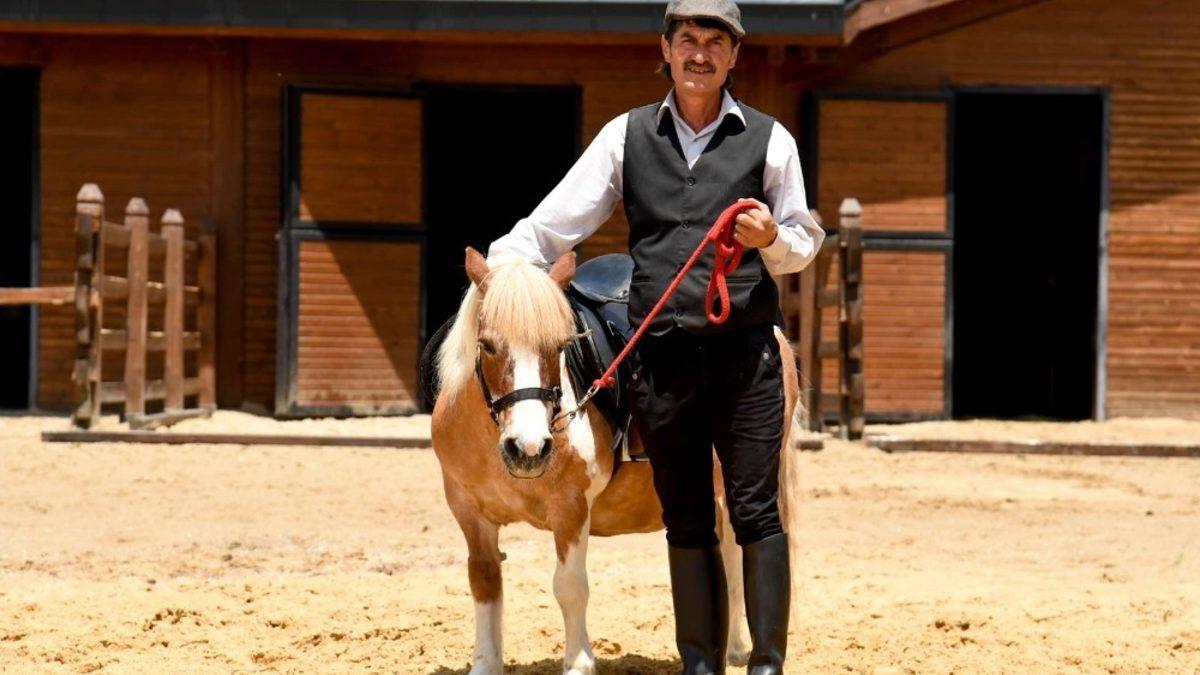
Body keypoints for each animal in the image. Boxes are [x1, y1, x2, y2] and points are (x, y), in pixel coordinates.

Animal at [430, 247, 802, 674]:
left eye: (559, 346)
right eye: (488, 345)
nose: (529, 447)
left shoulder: (571, 510)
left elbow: (570, 587)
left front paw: (578, 663)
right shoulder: (469, 514)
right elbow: (485, 582)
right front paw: (485, 663)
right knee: (728, 553)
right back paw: (734, 649)